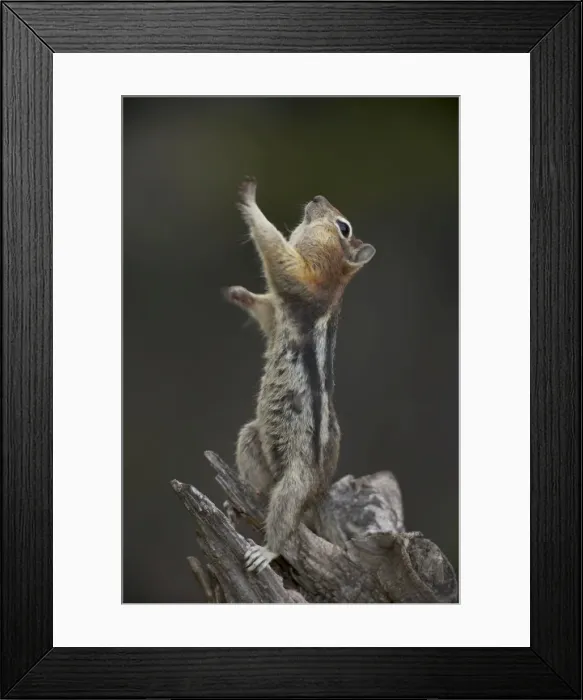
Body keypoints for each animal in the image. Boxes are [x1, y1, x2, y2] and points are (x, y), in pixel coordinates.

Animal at [224, 177, 376, 573]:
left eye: (344, 227)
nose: (318, 196)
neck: (336, 283)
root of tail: (321, 493)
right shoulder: (276, 312)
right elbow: (264, 309)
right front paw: (237, 293)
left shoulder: (305, 281)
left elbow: (277, 254)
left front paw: (250, 200)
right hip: (252, 439)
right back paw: (241, 501)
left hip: (297, 479)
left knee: (286, 518)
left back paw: (267, 551)